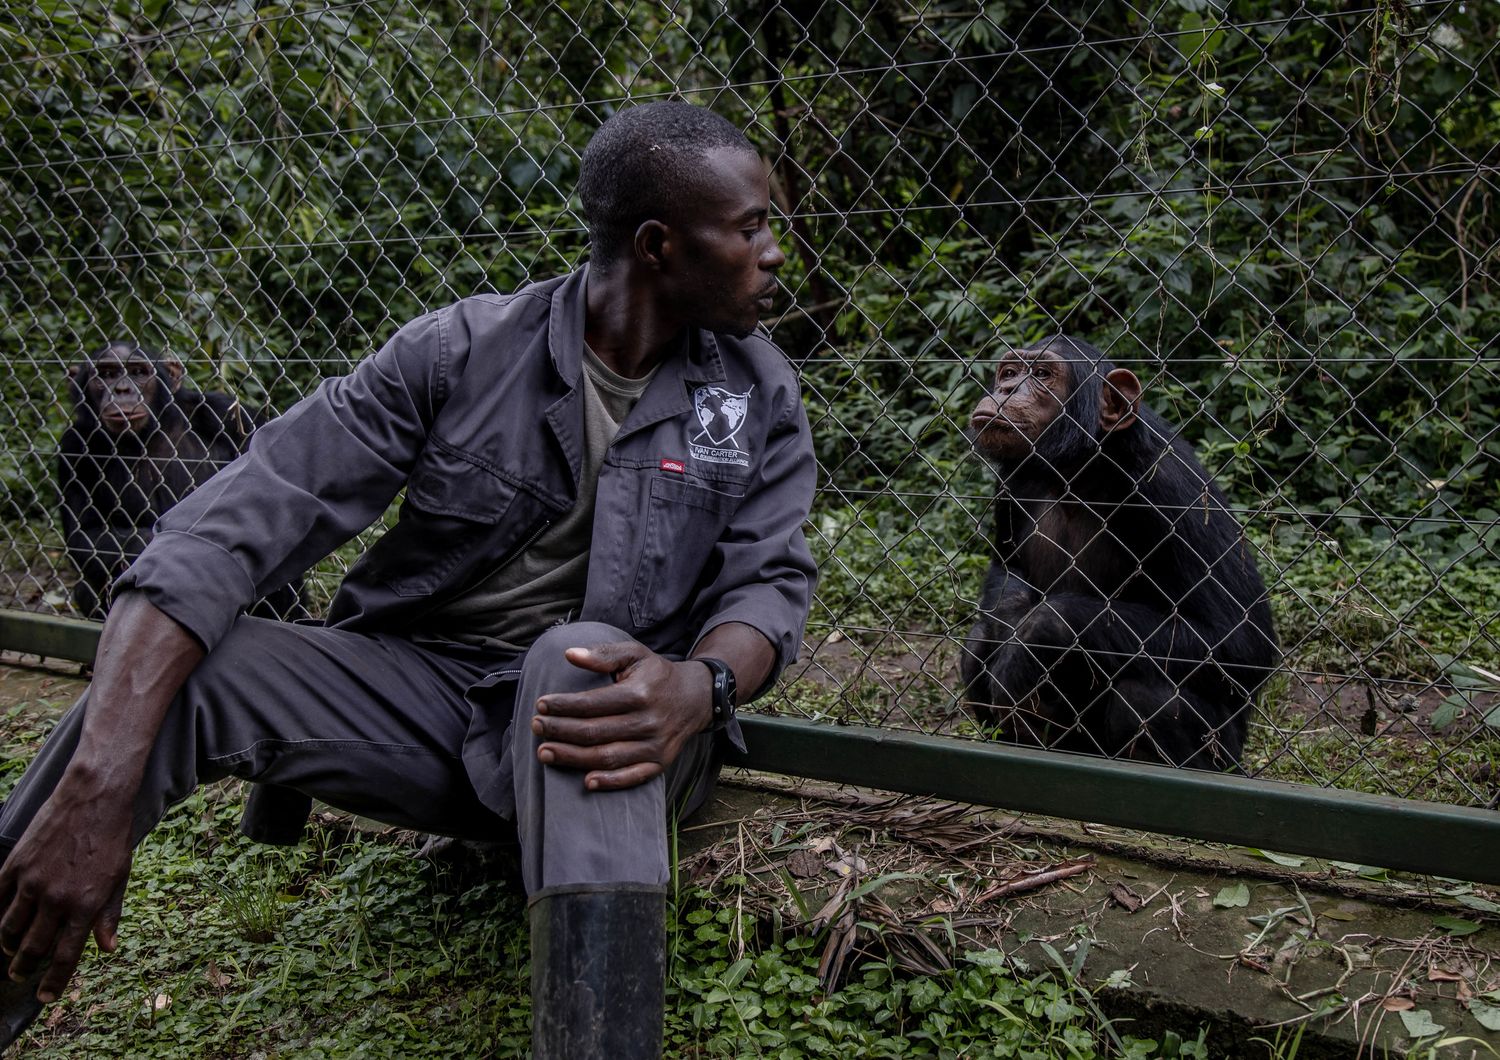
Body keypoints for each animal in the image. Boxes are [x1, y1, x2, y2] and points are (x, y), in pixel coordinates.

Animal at [60, 340, 304, 620]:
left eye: (138, 372)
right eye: (106, 375)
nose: (122, 389)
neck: (145, 434)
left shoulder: (228, 414)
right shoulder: (73, 447)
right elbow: (84, 535)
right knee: (86, 587)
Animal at [960, 337, 1278, 773]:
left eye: (1041, 374)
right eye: (1009, 372)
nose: (1007, 389)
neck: (1078, 468)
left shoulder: (1171, 487)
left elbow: (1240, 638)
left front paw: (1035, 634)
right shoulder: (1011, 479)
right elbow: (1006, 568)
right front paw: (1010, 619)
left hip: (1223, 754)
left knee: (1146, 697)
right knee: (976, 645)